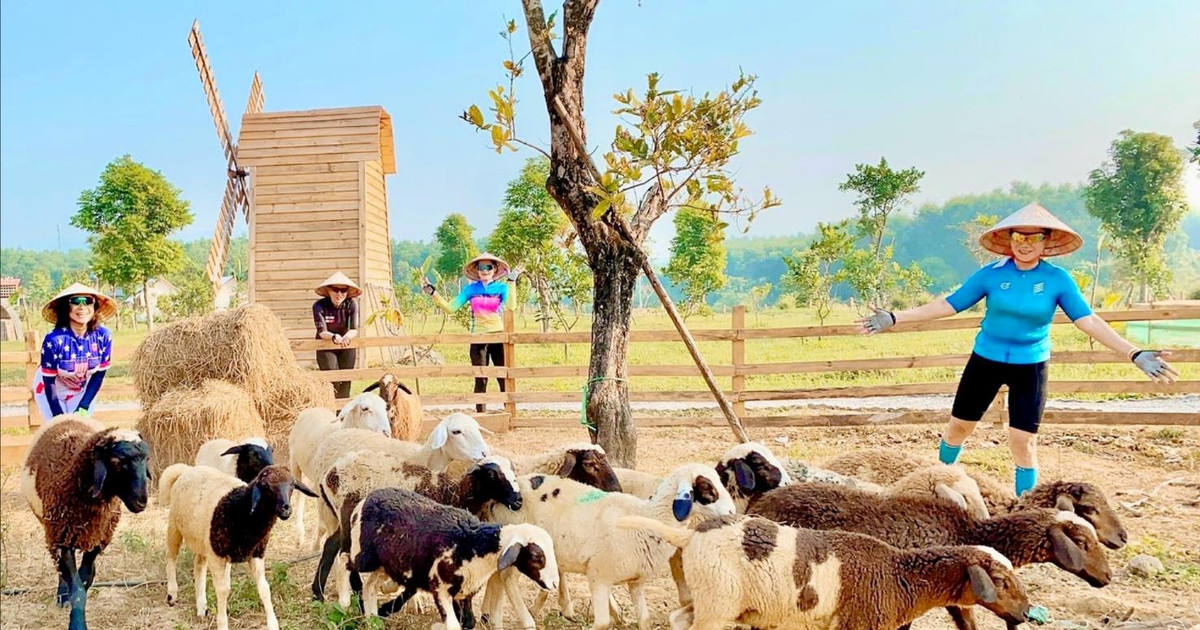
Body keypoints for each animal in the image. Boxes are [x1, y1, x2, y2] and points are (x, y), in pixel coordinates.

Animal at [19, 417, 151, 628]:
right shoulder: (62, 538)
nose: (141, 501)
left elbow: (85, 579)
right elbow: (77, 588)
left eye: (146, 459)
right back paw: (62, 596)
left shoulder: (98, 539)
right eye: (116, 461)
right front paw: (77, 622)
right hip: (54, 533)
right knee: (60, 570)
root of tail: (66, 416)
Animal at [343, 484, 556, 624]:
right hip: (364, 554)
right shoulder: (441, 589)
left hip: (388, 563)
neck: (476, 545)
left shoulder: (465, 591)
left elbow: (468, 623)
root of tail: (366, 499)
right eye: (537, 557)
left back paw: (372, 619)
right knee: (343, 561)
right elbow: (453, 625)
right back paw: (344, 600)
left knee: (370, 586)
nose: (554, 584)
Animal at [482, 460, 734, 628]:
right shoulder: (599, 577)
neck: (648, 516)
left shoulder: (636, 581)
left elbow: (645, 619)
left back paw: (493, 619)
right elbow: (602, 623)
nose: (732, 512)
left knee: (497, 577)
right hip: (523, 548)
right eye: (707, 487)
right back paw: (526, 620)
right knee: (507, 579)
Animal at [619, 513, 1032, 628]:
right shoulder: (857, 626)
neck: (897, 576)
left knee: (678, 619)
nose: (1027, 612)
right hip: (717, 604)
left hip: (712, 599)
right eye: (1001, 582)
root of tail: (690, 535)